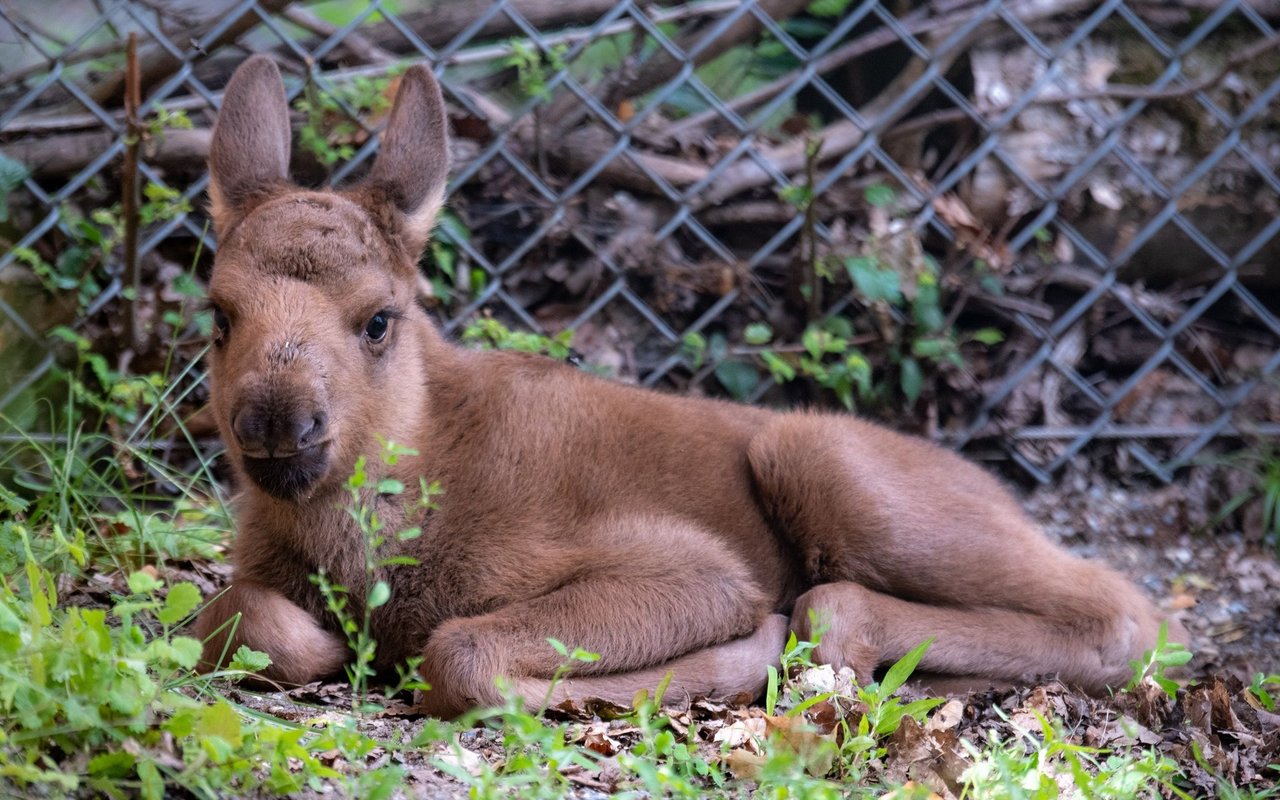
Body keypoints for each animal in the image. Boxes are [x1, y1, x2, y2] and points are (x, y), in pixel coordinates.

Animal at [194, 57, 1182, 716]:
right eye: (219, 313)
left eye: (378, 320)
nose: (277, 421)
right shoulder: (255, 576)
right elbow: (248, 619)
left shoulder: (697, 569)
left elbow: (463, 655)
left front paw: (731, 662)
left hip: (819, 455)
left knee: (1122, 609)